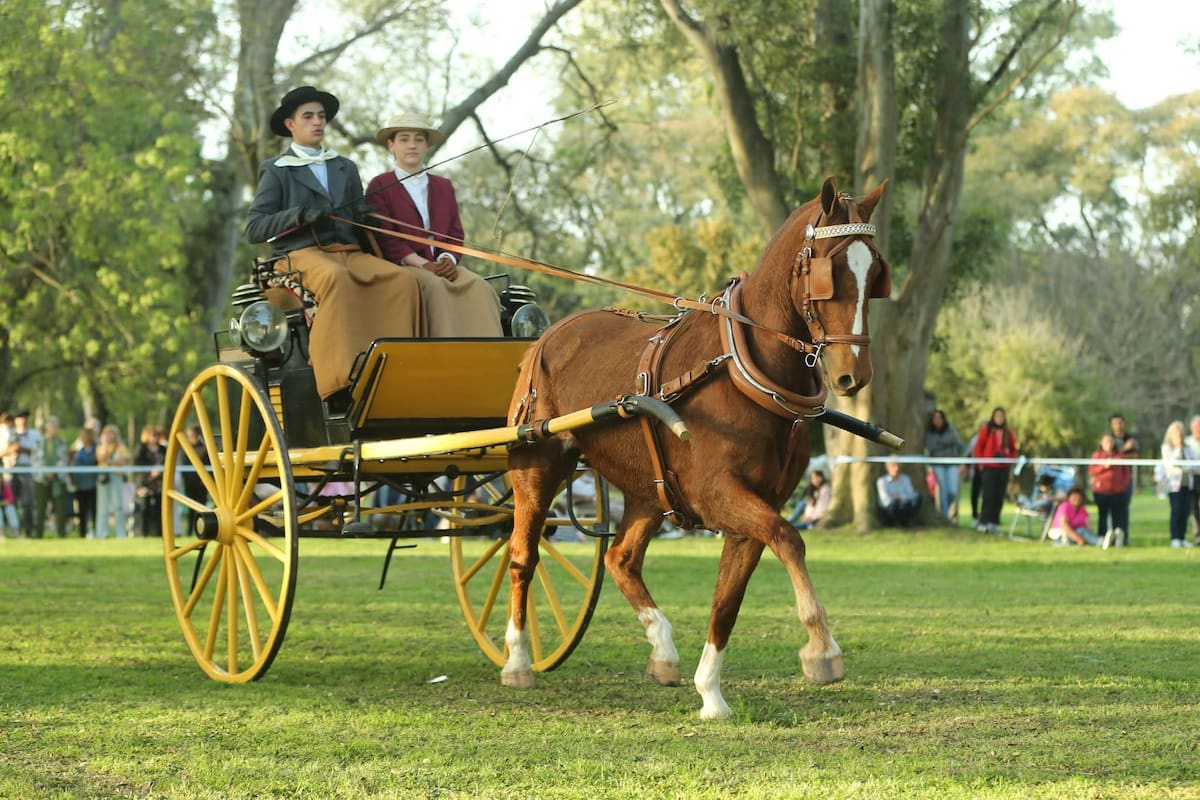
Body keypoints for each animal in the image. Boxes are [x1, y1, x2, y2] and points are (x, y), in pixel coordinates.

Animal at [503, 176, 889, 718]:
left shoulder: (754, 505)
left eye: (874, 272)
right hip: (536, 468)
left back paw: (663, 651)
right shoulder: (717, 494)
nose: (853, 373)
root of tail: (546, 335)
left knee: (620, 558)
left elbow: (727, 597)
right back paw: (517, 661)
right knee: (523, 556)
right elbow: (790, 538)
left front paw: (710, 692)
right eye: (829, 271)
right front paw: (822, 649)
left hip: (648, 489)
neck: (740, 371)